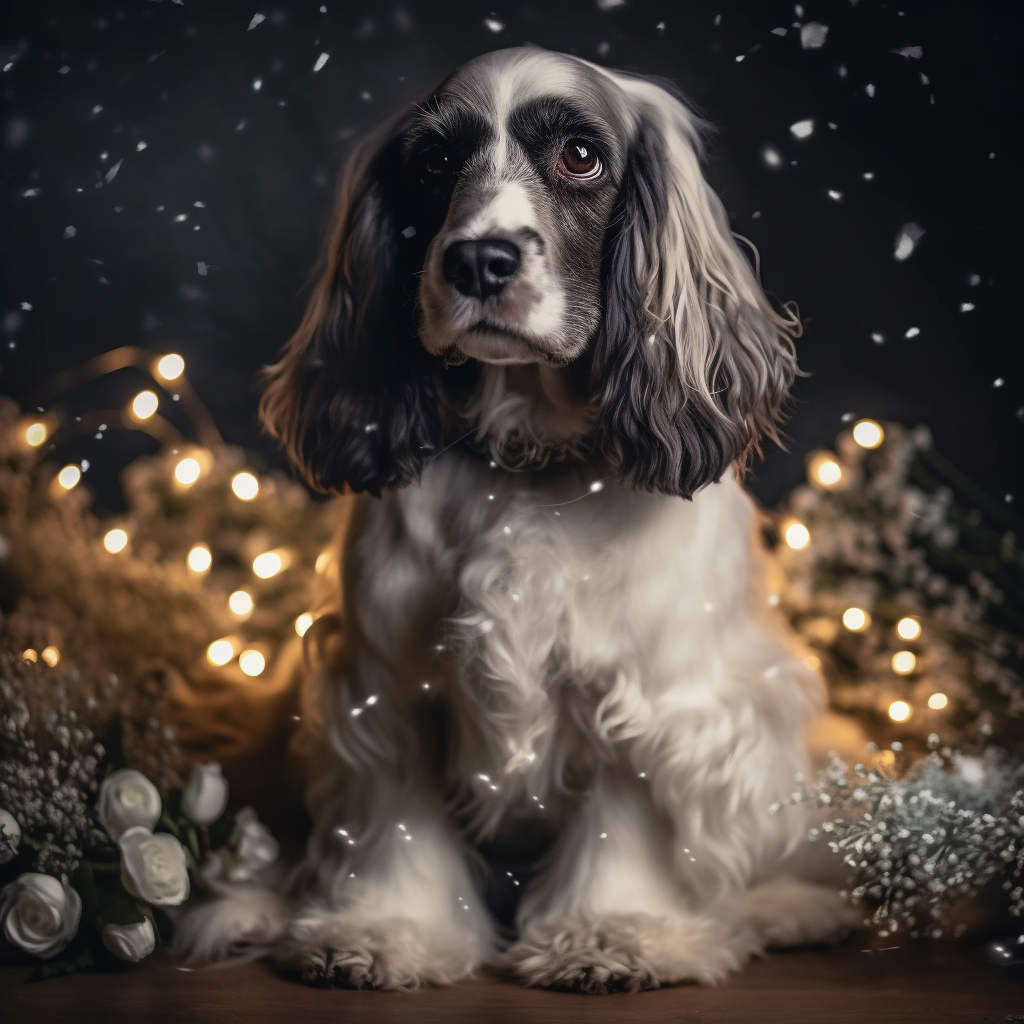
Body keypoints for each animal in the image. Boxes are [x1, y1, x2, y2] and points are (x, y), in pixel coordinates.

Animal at [176, 46, 856, 991]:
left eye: (580, 156)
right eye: (433, 162)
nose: (479, 261)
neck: (529, 467)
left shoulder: (654, 686)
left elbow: (626, 810)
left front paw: (613, 932)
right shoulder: (386, 688)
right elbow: (398, 818)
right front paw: (385, 930)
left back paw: (792, 907)